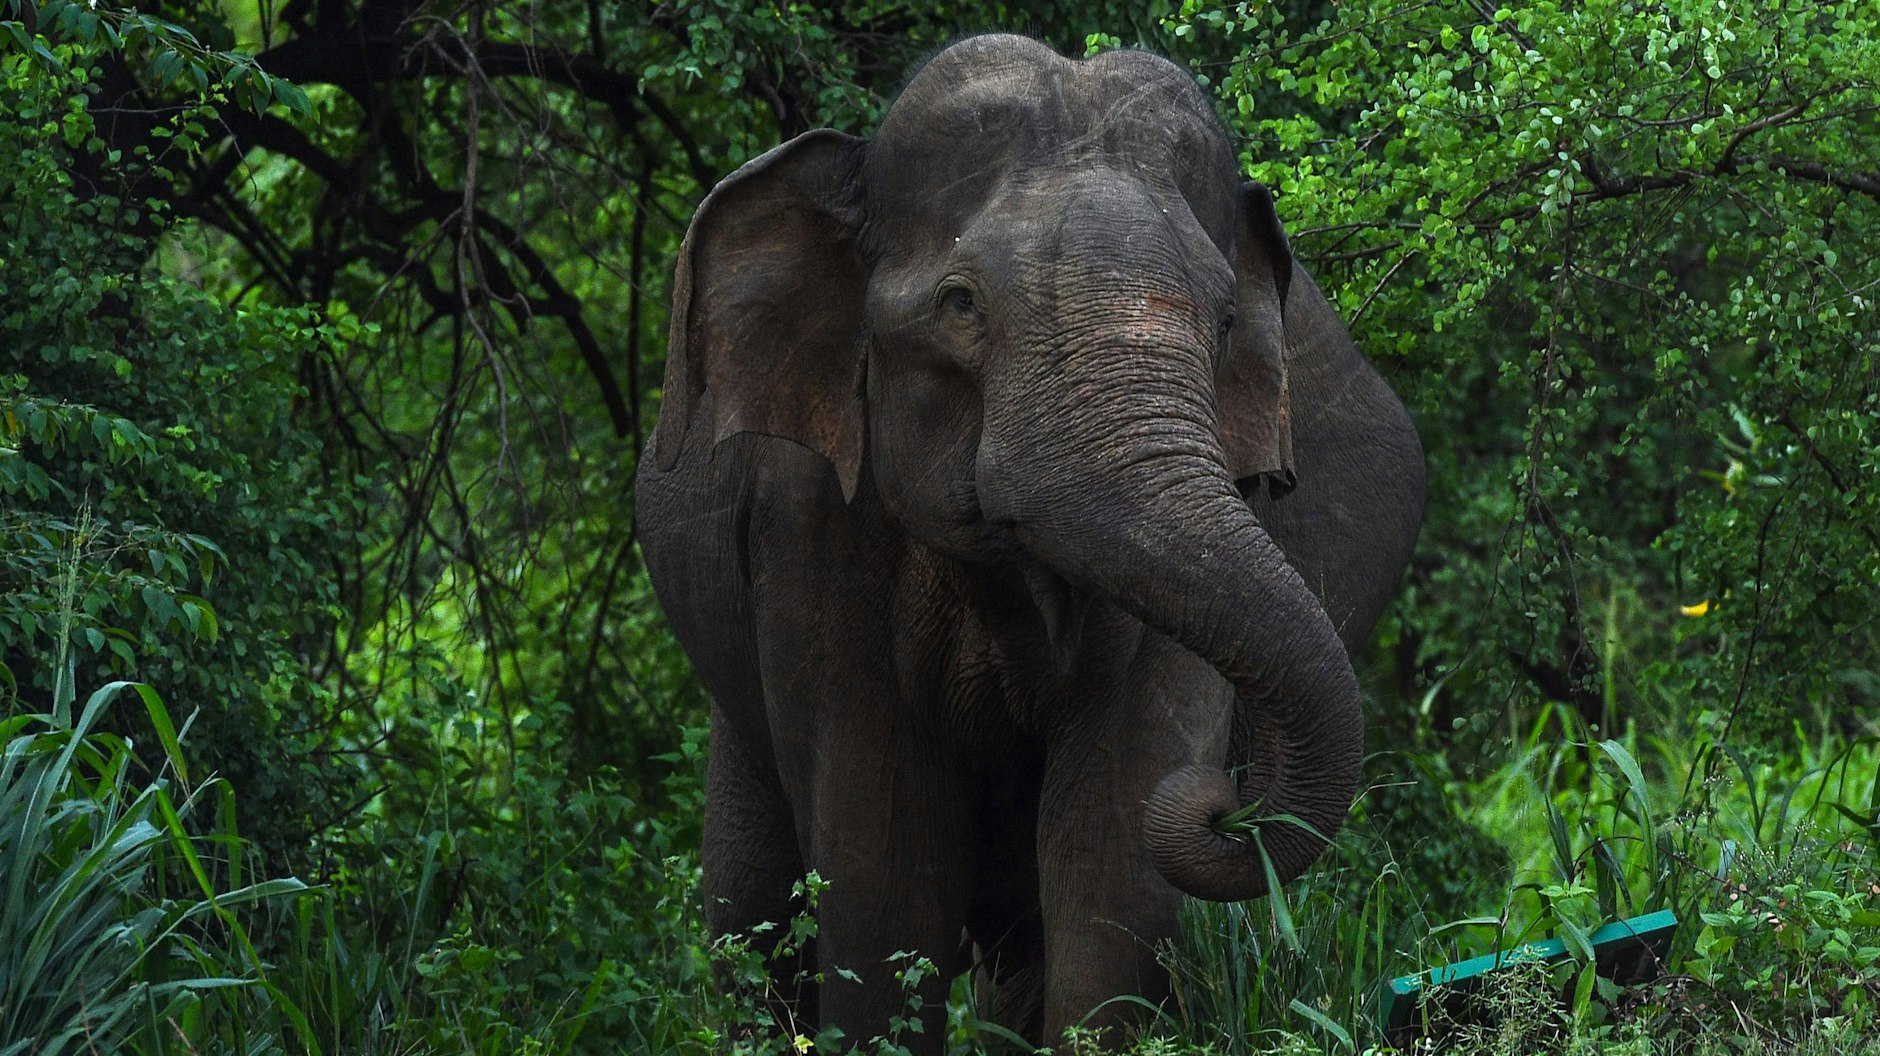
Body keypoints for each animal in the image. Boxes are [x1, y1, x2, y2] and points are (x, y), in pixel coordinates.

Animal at [634, 34, 1424, 1050]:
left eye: (1226, 321)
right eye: (960, 303)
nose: (1221, 805)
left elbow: (1115, 834)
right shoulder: (808, 518)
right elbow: (879, 854)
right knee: (754, 908)